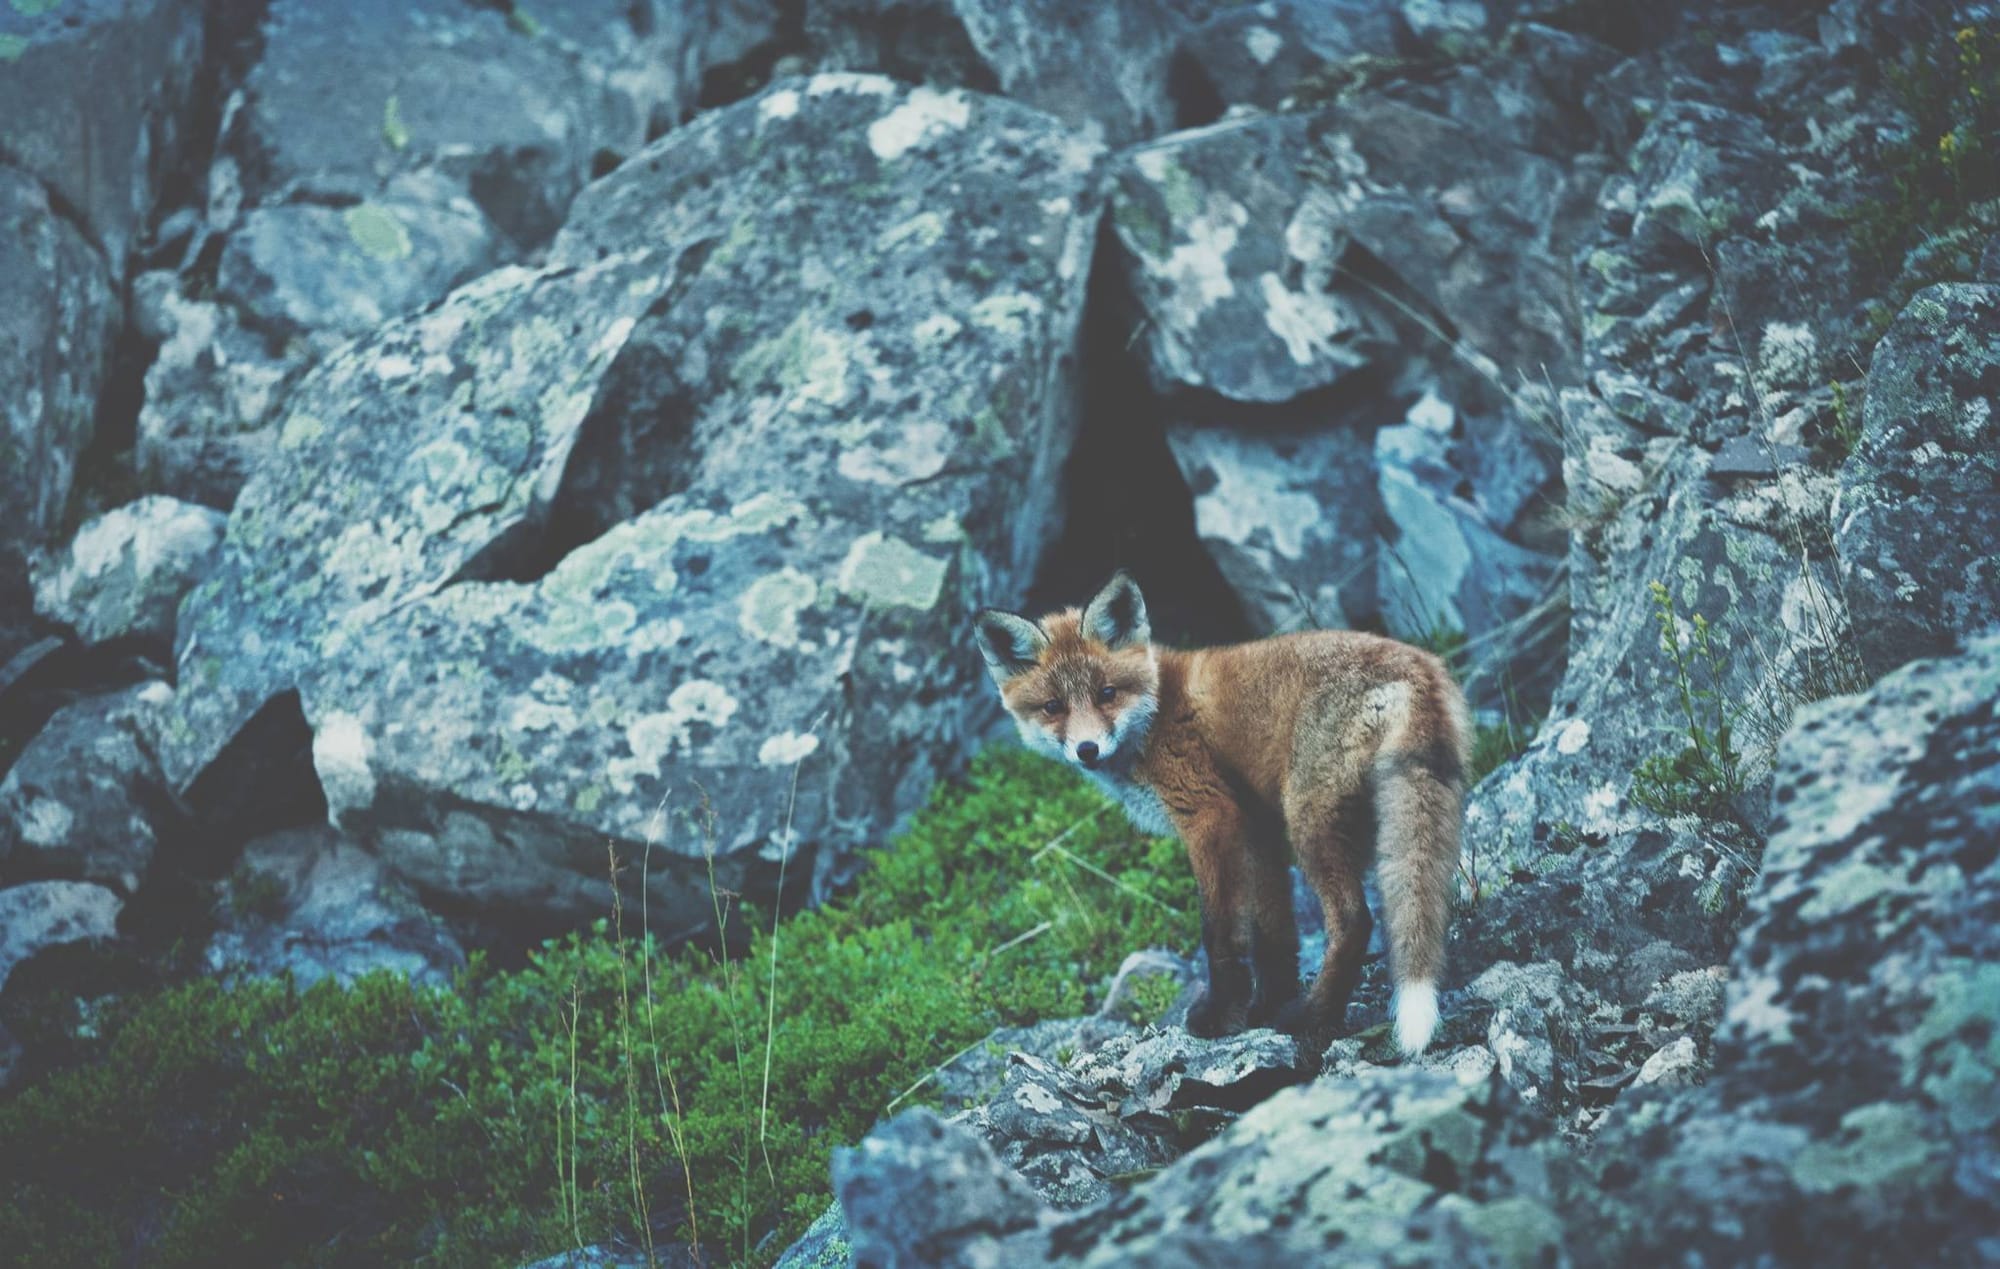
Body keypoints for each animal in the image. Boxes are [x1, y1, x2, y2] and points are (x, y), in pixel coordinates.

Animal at [973, 571, 1470, 1057]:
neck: (1155, 713)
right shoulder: (1258, 824)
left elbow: (1220, 934)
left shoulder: (1210, 816)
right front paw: (1266, 1004)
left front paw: (1220, 1018)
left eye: (1106, 693)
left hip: (1309, 823)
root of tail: (1418, 665)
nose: (1087, 749)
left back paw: (1312, 1018)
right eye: (1053, 707)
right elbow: (1274, 933)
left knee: (1354, 922)